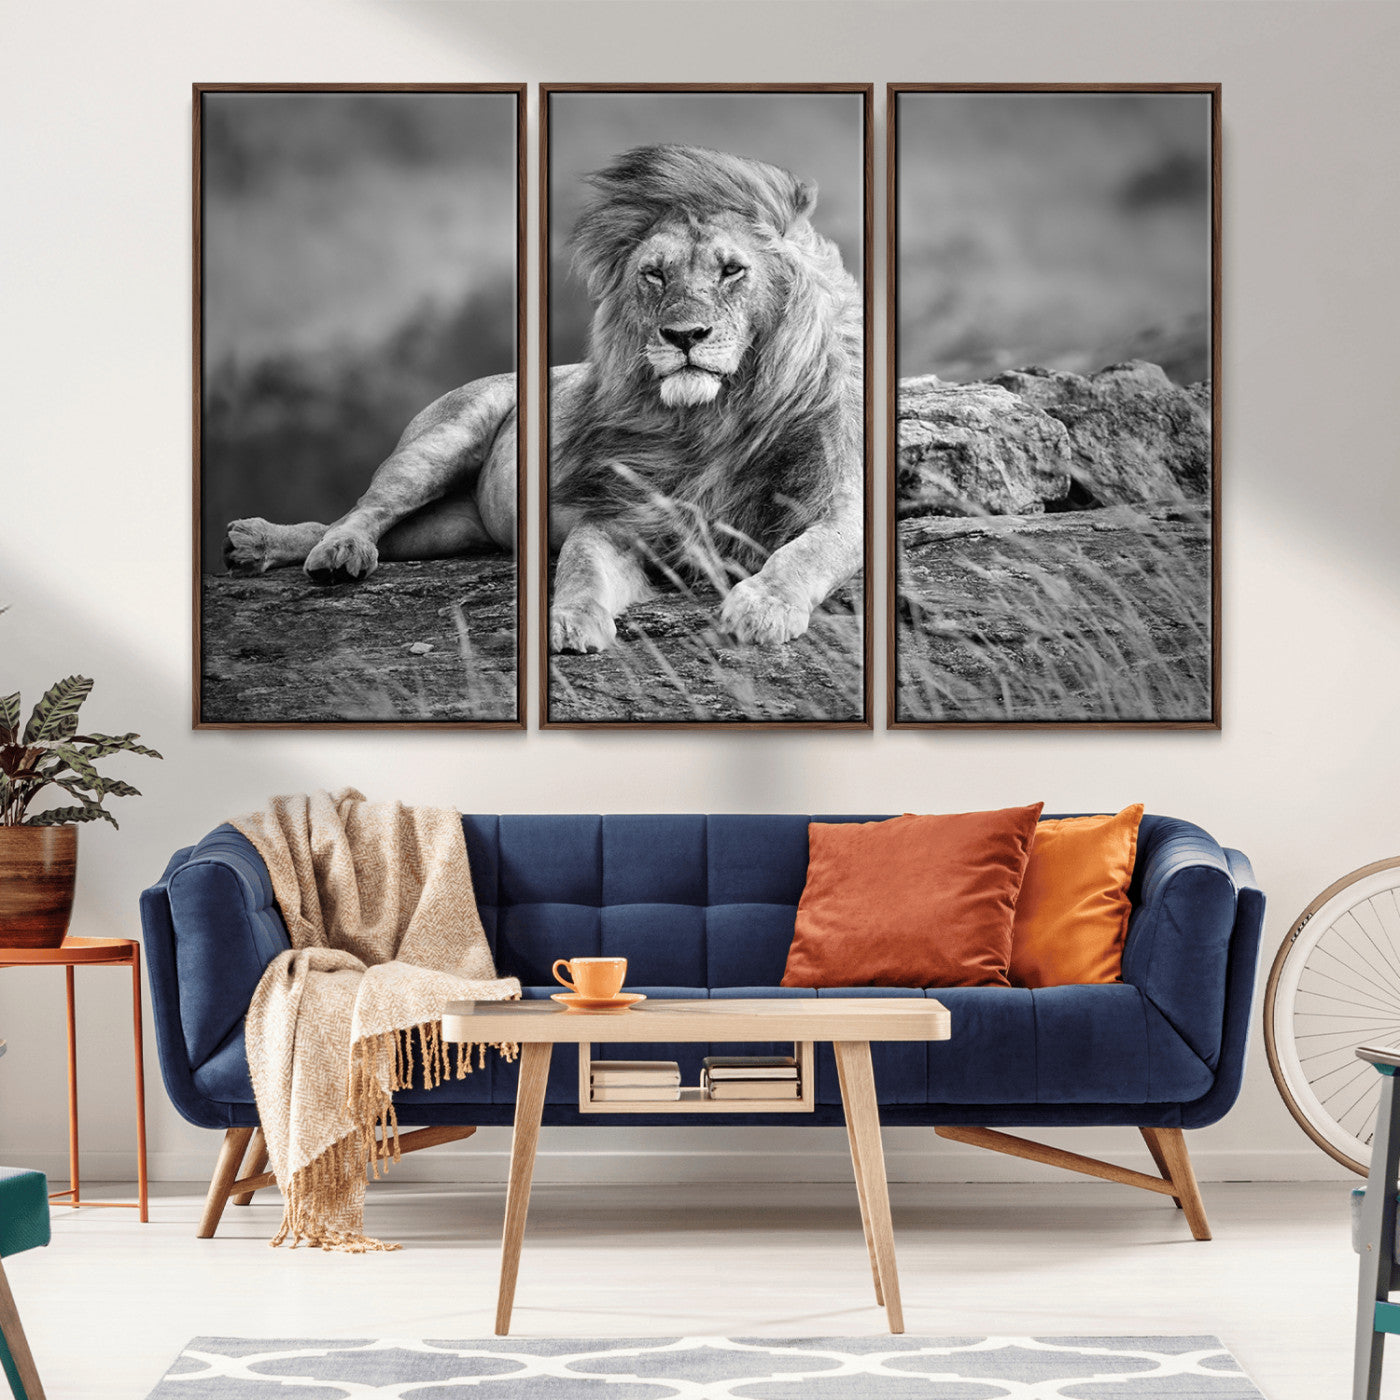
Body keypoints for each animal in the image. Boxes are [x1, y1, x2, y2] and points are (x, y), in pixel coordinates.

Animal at [224, 143, 865, 652]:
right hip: (439, 443)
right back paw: (320, 550)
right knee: (361, 511)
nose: (683, 336)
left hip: (451, 528)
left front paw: (762, 607)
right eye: (654, 275)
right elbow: (579, 567)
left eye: (732, 270)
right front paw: (567, 623)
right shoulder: (617, 517)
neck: (715, 418)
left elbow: (810, 550)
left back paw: (261, 546)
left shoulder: (842, 503)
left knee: (362, 526)